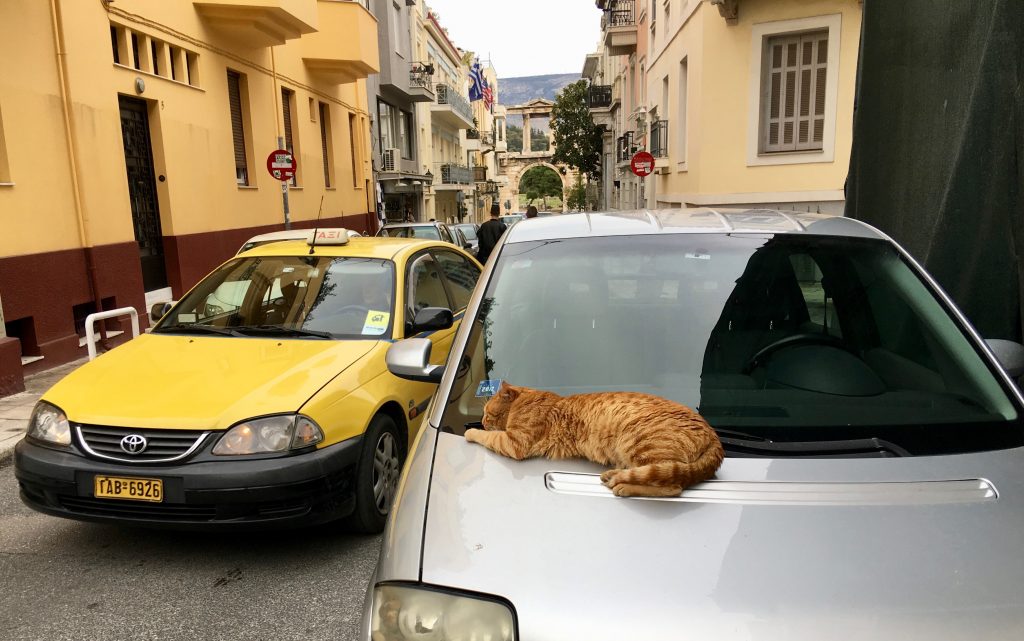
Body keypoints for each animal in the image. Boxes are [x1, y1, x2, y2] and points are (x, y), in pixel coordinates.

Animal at [468, 380, 724, 497]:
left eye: (487, 412)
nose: (481, 420)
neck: (528, 399)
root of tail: (715, 438)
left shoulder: (515, 442)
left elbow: (490, 436)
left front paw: (473, 432)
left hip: (638, 442)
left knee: (672, 486)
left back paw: (624, 486)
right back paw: (613, 475)